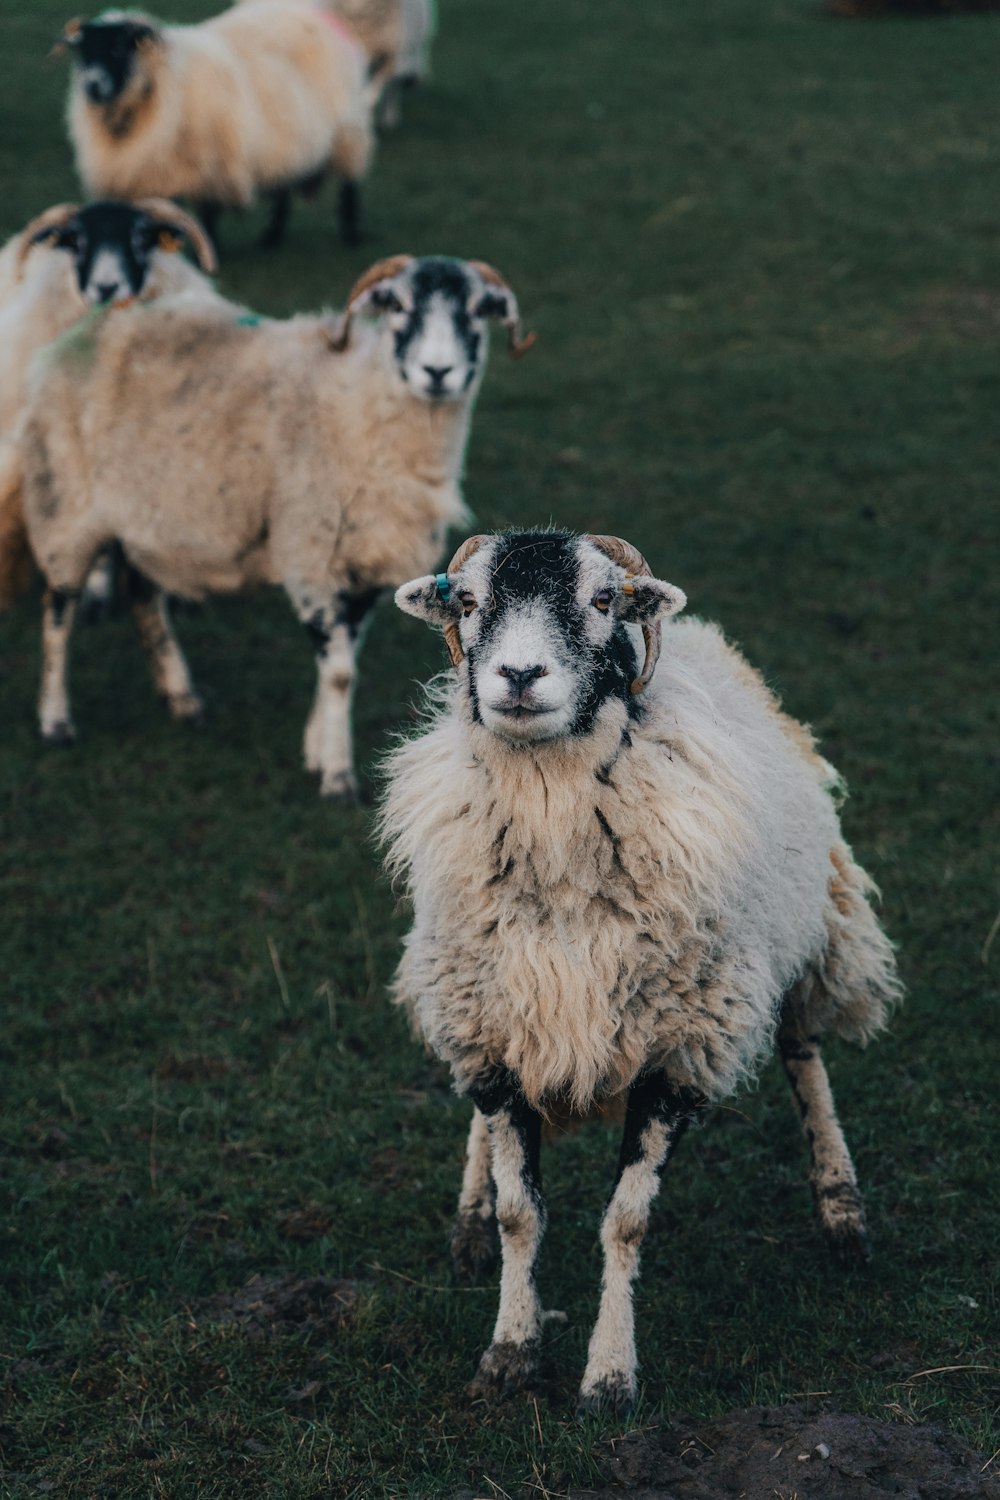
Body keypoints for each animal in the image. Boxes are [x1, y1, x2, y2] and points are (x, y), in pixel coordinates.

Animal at [17, 253, 530, 804]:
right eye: (396, 304)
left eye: (477, 310)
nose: (438, 372)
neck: (364, 405)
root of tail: (96, 321)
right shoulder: (311, 553)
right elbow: (340, 672)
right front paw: (337, 775)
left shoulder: (367, 565)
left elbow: (345, 660)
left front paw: (316, 747)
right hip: (64, 504)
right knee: (58, 610)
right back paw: (56, 720)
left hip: (147, 519)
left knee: (141, 595)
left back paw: (181, 696)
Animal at [56, 2, 374, 249]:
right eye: (84, 52)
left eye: (119, 48)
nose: (92, 86)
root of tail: (311, 12)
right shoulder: (155, 175)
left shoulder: (213, 168)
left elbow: (209, 216)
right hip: (289, 137)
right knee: (283, 186)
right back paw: (271, 236)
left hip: (348, 130)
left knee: (350, 184)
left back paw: (352, 235)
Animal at [379, 531, 905, 1416]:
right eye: (469, 600)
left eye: (601, 601)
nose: (518, 676)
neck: (555, 832)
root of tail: (702, 640)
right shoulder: (496, 1029)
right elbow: (522, 1212)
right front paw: (510, 1350)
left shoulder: (680, 1050)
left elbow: (626, 1222)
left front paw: (609, 1376)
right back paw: (468, 1220)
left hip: (801, 939)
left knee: (804, 1055)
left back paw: (841, 1210)